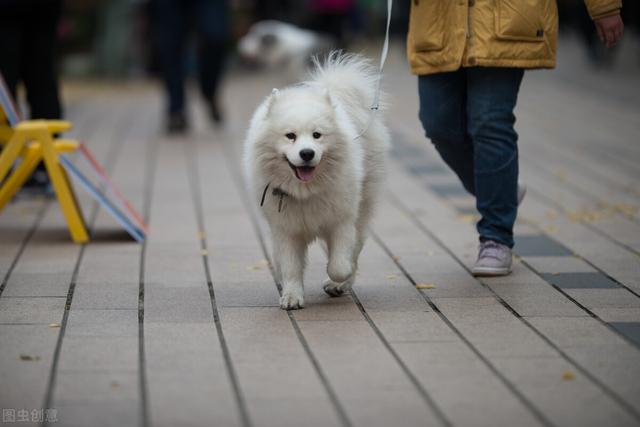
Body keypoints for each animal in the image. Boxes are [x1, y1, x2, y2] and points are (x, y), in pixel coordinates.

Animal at [242, 52, 388, 310]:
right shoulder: (286, 229)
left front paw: (338, 280)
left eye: (317, 135)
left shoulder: (341, 220)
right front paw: (291, 297)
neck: (305, 192)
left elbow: (340, 264)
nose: (307, 153)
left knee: (357, 245)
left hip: (363, 206)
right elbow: (290, 266)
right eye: (290, 136)